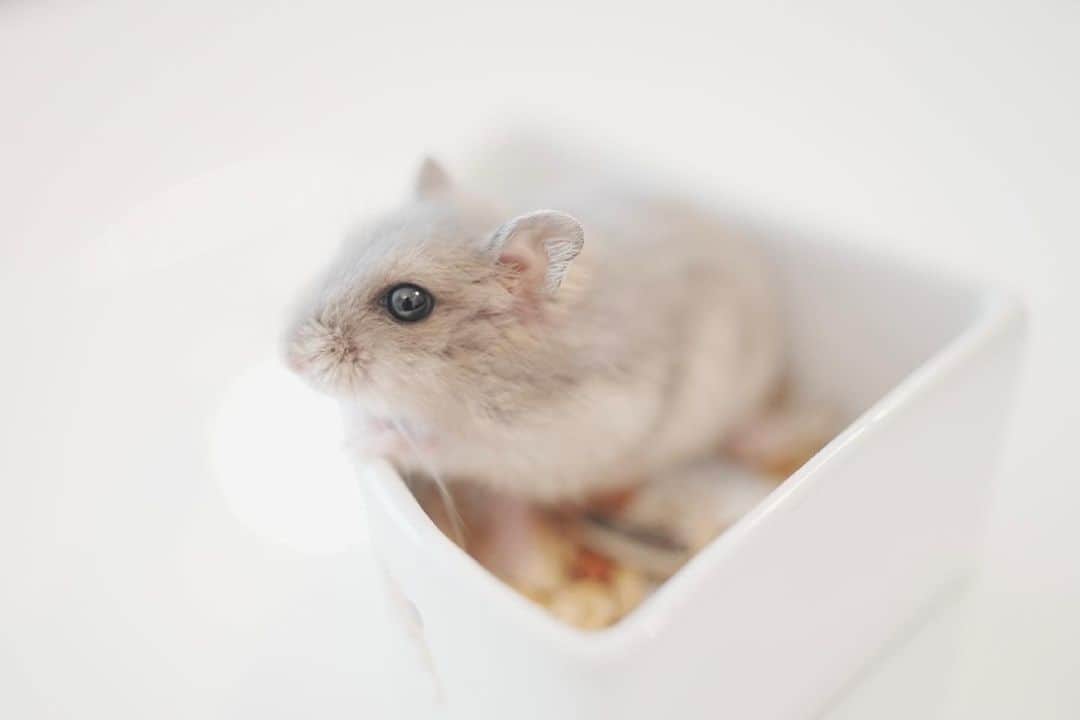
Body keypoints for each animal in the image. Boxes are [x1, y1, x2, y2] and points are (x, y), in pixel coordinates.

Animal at [285, 151, 783, 502]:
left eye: (408, 302)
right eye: (346, 247)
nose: (289, 359)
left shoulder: (536, 445)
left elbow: (442, 446)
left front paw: (358, 444)